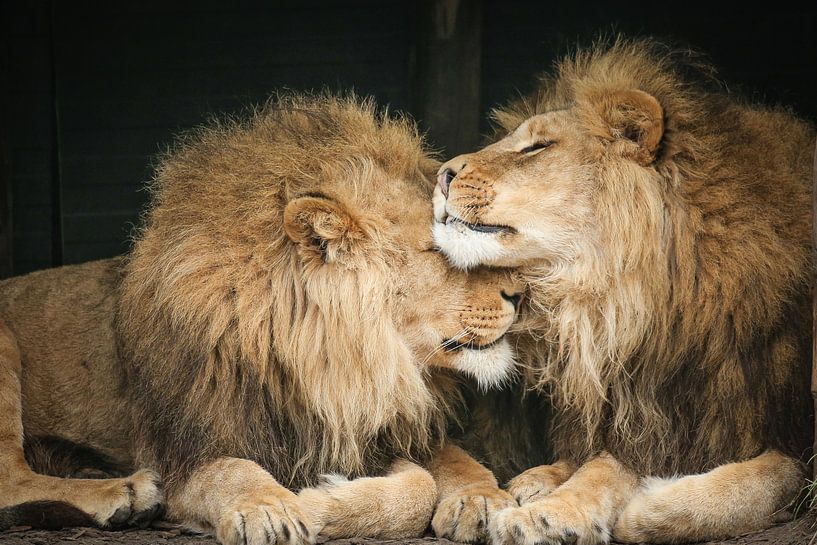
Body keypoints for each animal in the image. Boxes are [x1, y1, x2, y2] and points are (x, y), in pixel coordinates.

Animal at [0, 92, 520, 540]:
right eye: (440, 248)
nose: (520, 292)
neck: (339, 370)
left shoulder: (374, 429)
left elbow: (440, 472)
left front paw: (483, 499)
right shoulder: (186, 453)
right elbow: (235, 472)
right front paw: (275, 508)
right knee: (12, 479)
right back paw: (124, 493)